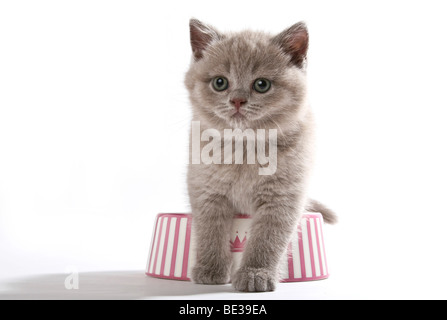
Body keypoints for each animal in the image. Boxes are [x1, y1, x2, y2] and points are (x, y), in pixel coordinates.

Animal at [185, 18, 336, 292]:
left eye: (261, 85)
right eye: (220, 83)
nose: (237, 100)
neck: (245, 147)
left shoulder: (283, 196)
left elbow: (268, 238)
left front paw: (256, 274)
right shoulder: (206, 189)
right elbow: (209, 231)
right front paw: (210, 269)